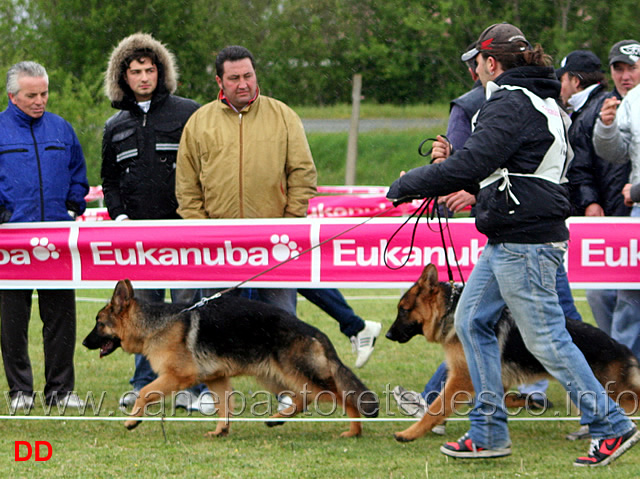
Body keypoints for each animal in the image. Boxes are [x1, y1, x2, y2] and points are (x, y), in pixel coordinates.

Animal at [82, 282, 378, 438]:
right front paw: (220, 431)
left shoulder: (178, 376)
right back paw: (278, 418)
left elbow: (144, 391)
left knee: (339, 396)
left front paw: (133, 420)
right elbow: (224, 405)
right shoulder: (217, 379)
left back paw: (354, 430)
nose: (83, 343)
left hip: (295, 374)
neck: (156, 324)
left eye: (99, 323)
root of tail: (315, 332)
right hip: (273, 376)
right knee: (305, 398)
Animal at [384, 264, 640, 444]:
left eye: (403, 310)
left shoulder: (462, 377)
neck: (451, 312)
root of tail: (622, 348)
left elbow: (437, 406)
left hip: (612, 391)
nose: (387, 334)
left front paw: (409, 433)